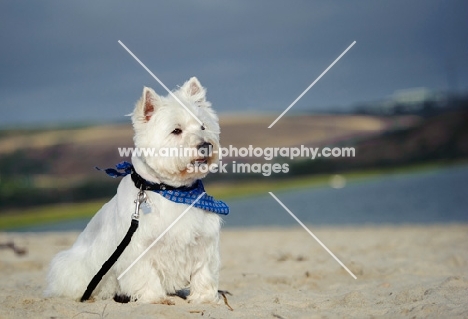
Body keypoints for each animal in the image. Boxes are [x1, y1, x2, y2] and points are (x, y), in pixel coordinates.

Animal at [45, 77, 229, 304]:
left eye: (203, 126)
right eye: (176, 130)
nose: (205, 145)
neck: (171, 190)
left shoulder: (203, 241)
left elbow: (204, 271)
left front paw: (204, 298)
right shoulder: (137, 246)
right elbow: (145, 274)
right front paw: (155, 298)